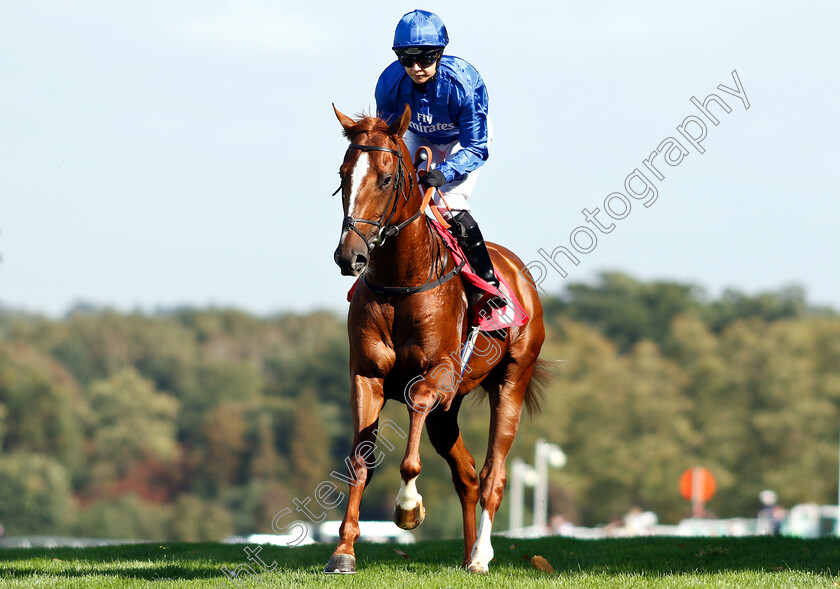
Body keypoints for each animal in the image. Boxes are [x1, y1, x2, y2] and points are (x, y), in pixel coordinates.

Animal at [324, 105, 548, 576]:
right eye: (343, 174)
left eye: (386, 178)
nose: (349, 256)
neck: (400, 281)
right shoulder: (367, 376)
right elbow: (360, 460)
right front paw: (344, 550)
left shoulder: (438, 373)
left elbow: (415, 415)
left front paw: (409, 507)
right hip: (450, 411)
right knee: (467, 474)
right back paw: (467, 553)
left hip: (512, 381)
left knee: (493, 474)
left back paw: (481, 554)